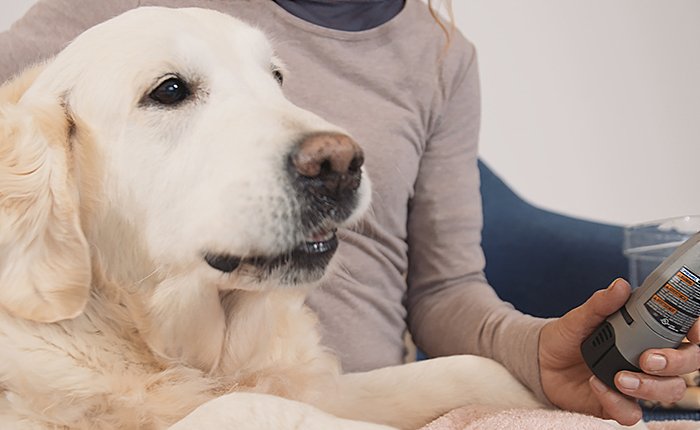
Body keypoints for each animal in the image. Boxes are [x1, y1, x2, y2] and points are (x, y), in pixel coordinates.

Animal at [0, 7, 540, 430]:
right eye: (169, 90)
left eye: (275, 78)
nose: (338, 165)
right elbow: (243, 407)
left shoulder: (317, 381)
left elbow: (470, 367)